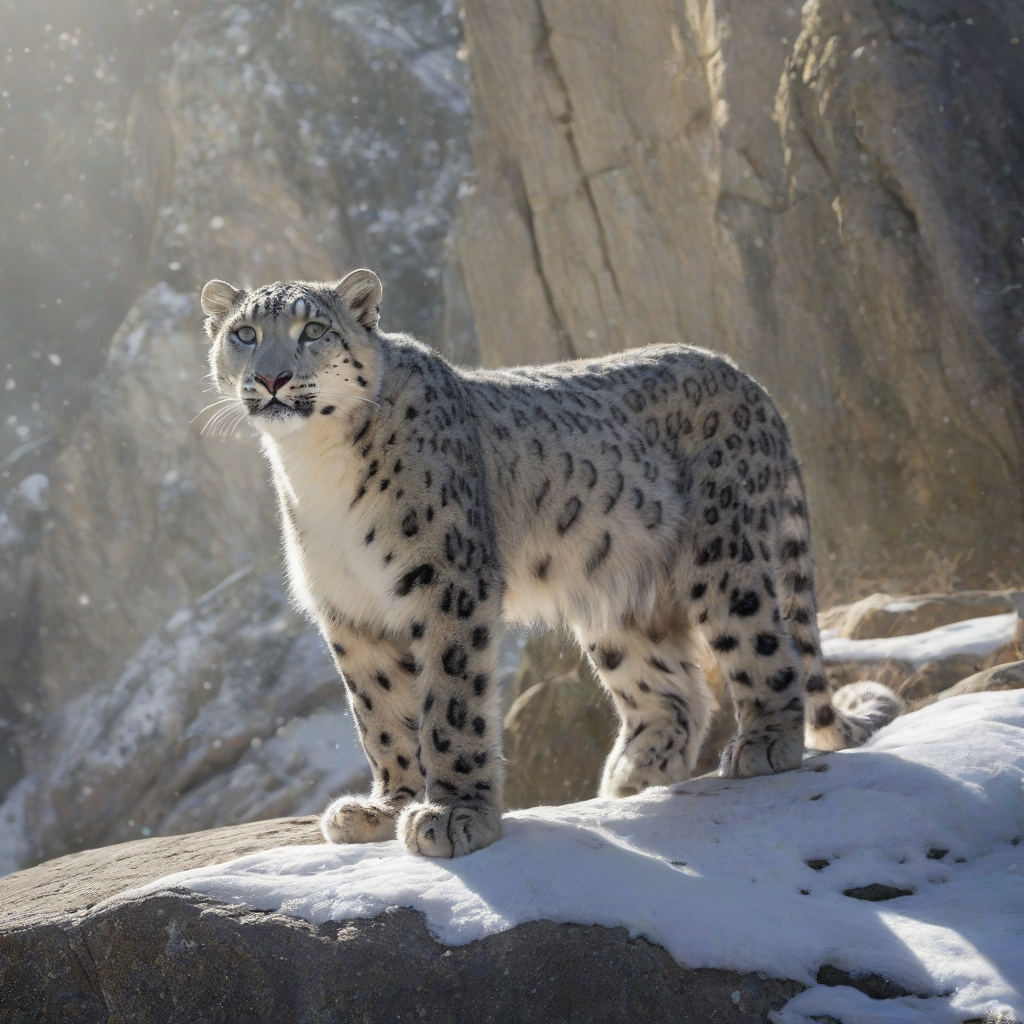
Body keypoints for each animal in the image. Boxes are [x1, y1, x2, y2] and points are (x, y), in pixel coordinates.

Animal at [201, 269, 901, 858]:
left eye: (313, 330)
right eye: (245, 333)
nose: (271, 378)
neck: (314, 467)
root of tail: (748, 378)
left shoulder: (446, 582)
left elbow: (448, 704)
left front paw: (454, 816)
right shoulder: (350, 609)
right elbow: (379, 716)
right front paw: (386, 807)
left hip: (725, 555)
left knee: (765, 646)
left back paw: (762, 746)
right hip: (620, 594)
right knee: (673, 690)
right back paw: (631, 780)